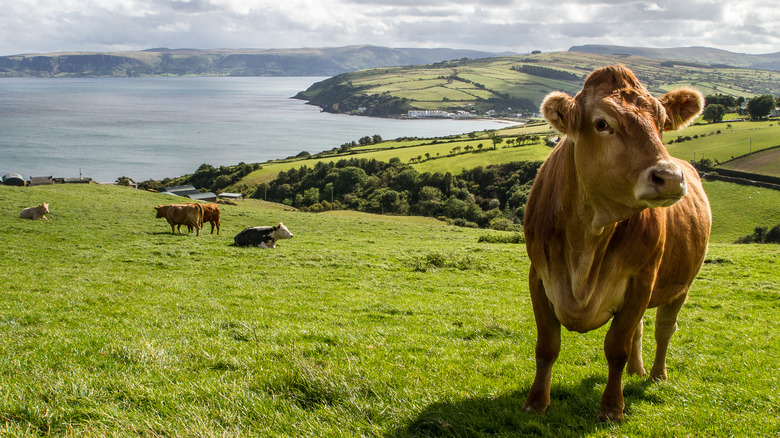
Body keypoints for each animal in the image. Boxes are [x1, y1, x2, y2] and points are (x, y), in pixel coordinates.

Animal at [520, 65, 708, 420]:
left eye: (662, 122)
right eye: (602, 123)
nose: (670, 177)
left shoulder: (640, 280)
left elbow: (616, 347)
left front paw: (611, 408)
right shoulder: (539, 276)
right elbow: (547, 345)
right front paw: (536, 402)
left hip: (681, 285)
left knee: (664, 328)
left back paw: (656, 375)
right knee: (641, 328)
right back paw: (637, 370)